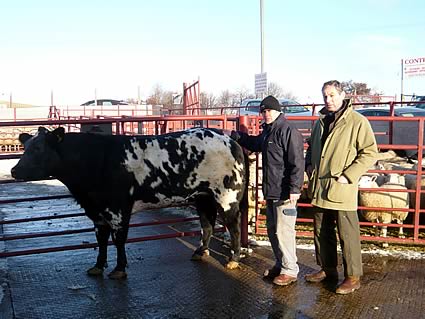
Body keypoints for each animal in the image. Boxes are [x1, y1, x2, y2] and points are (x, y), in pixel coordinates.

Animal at [11, 127, 247, 280]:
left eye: (39, 149)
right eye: (26, 147)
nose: (14, 170)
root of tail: (230, 139)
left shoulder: (117, 210)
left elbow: (119, 240)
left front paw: (119, 269)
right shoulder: (98, 212)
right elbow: (101, 239)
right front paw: (97, 266)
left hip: (227, 197)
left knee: (233, 227)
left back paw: (233, 258)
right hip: (203, 197)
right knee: (207, 224)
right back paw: (200, 252)